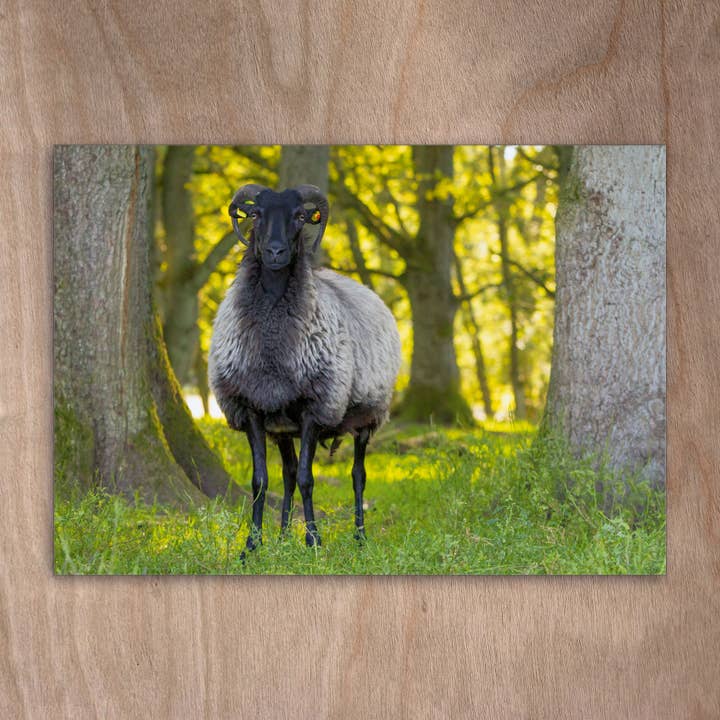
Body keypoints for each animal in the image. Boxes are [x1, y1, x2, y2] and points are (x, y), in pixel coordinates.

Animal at [209, 183, 401, 551]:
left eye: (300, 216)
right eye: (256, 213)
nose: (275, 251)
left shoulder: (316, 407)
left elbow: (307, 479)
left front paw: (313, 541)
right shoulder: (251, 409)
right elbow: (261, 481)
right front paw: (252, 546)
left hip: (368, 416)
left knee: (358, 475)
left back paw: (360, 536)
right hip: (283, 427)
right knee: (286, 473)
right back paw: (284, 536)